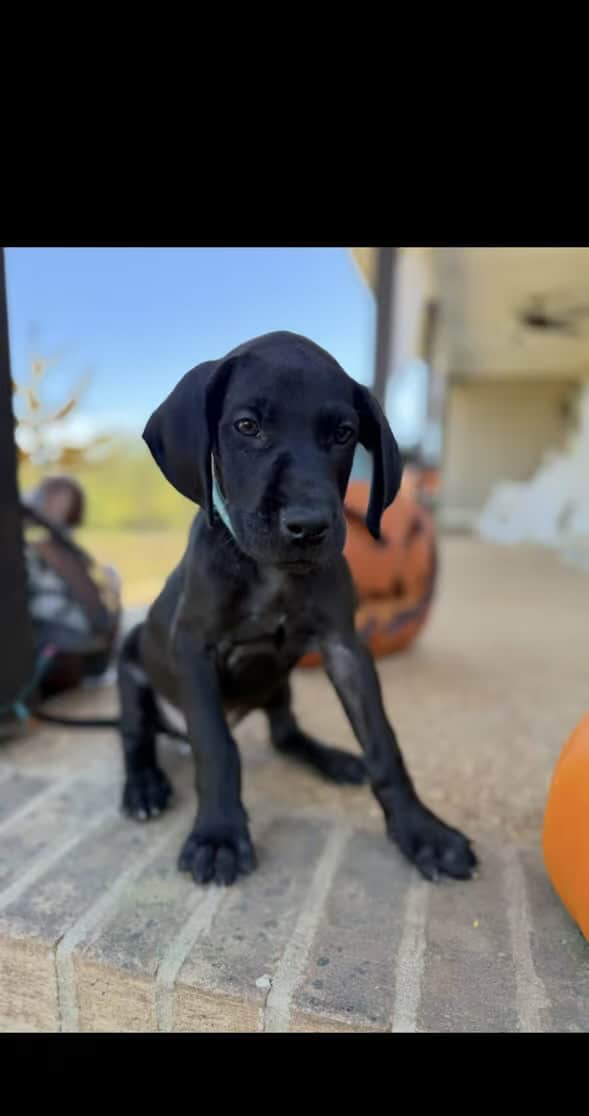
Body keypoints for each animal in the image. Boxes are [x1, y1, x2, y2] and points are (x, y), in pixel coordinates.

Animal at [117, 331, 476, 886]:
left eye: (344, 433)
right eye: (247, 426)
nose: (308, 526)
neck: (272, 574)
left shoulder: (344, 648)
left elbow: (383, 744)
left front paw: (423, 832)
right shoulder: (193, 648)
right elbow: (215, 747)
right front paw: (219, 835)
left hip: (279, 682)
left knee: (286, 734)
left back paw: (330, 758)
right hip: (132, 665)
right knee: (136, 736)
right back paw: (144, 786)